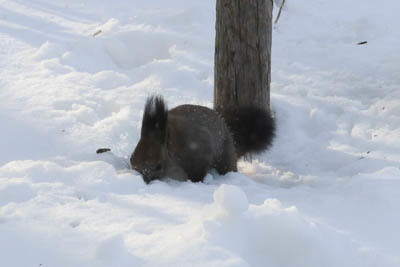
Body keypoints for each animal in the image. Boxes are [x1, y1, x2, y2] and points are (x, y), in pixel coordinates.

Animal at [131, 94, 276, 184]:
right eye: (132, 160)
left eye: (158, 166)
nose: (145, 179)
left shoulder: (199, 154)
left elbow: (197, 174)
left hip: (225, 160)